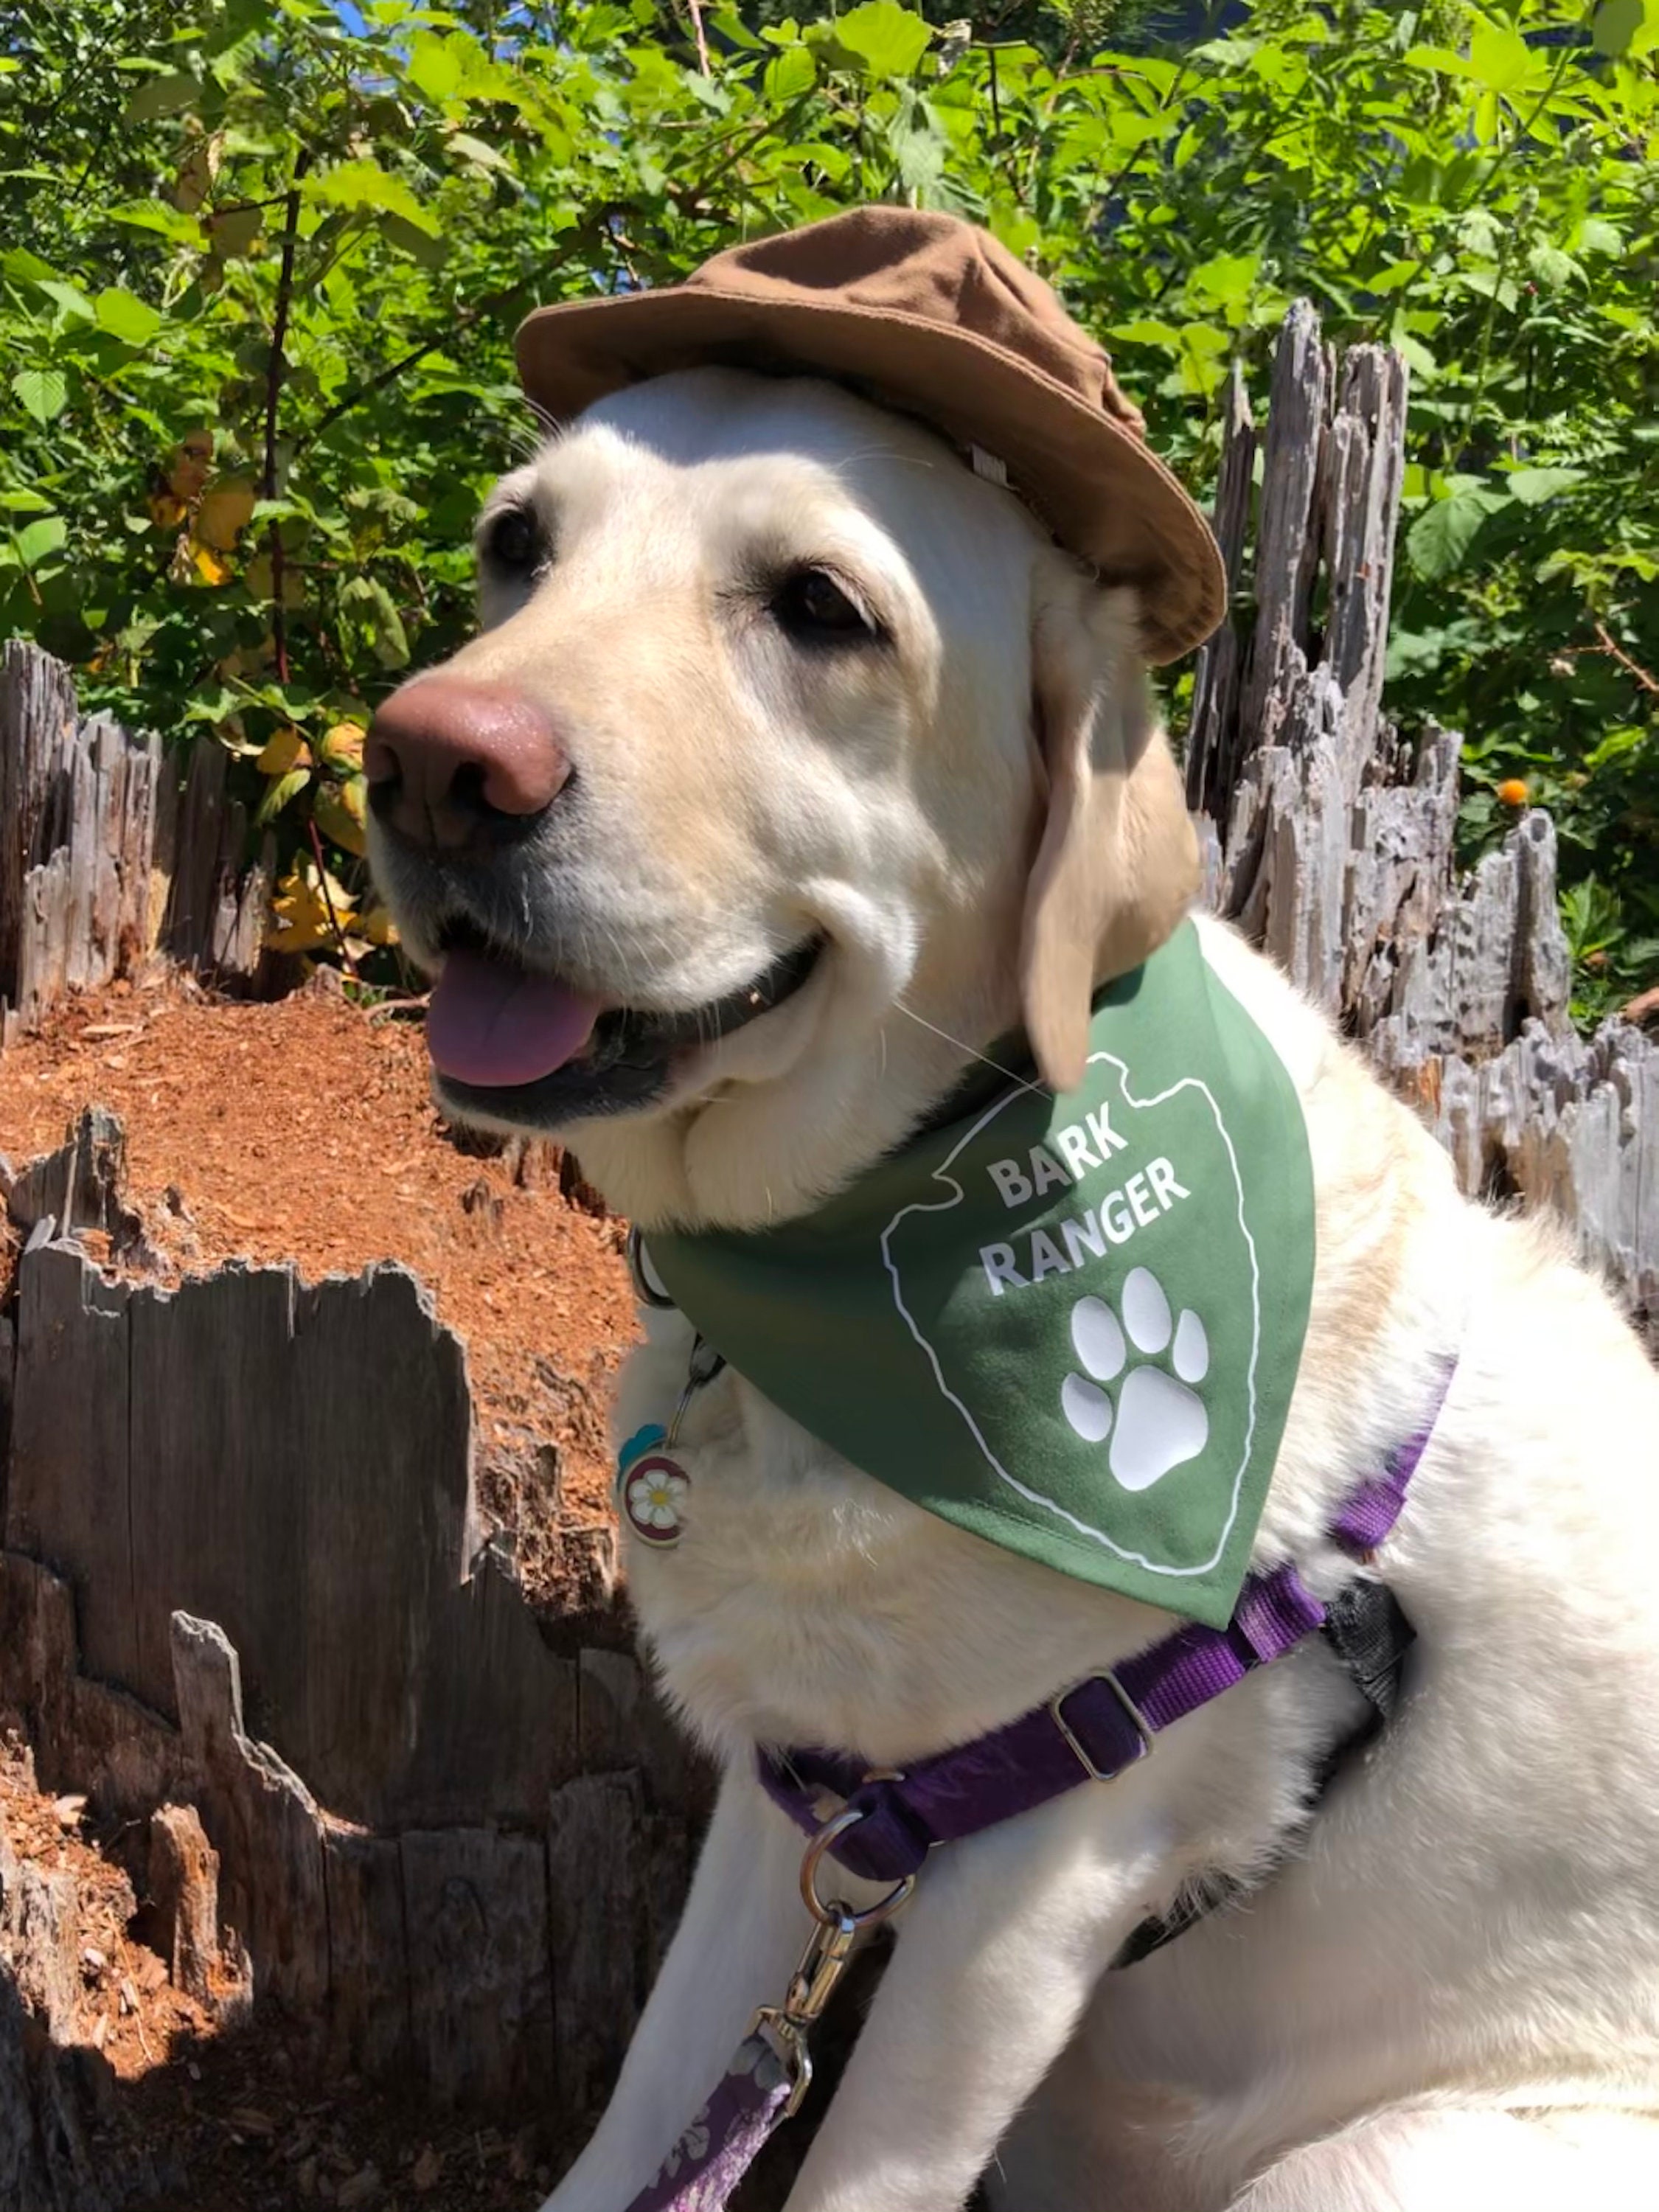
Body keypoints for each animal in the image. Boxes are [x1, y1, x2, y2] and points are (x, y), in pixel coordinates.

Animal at [367, 211, 1659, 2212]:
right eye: (519, 545)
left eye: (822, 608)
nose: (430, 760)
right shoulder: (811, 1799)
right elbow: (648, 2114)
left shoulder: (1035, 1872)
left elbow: (849, 2174)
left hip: (1379, 2155)